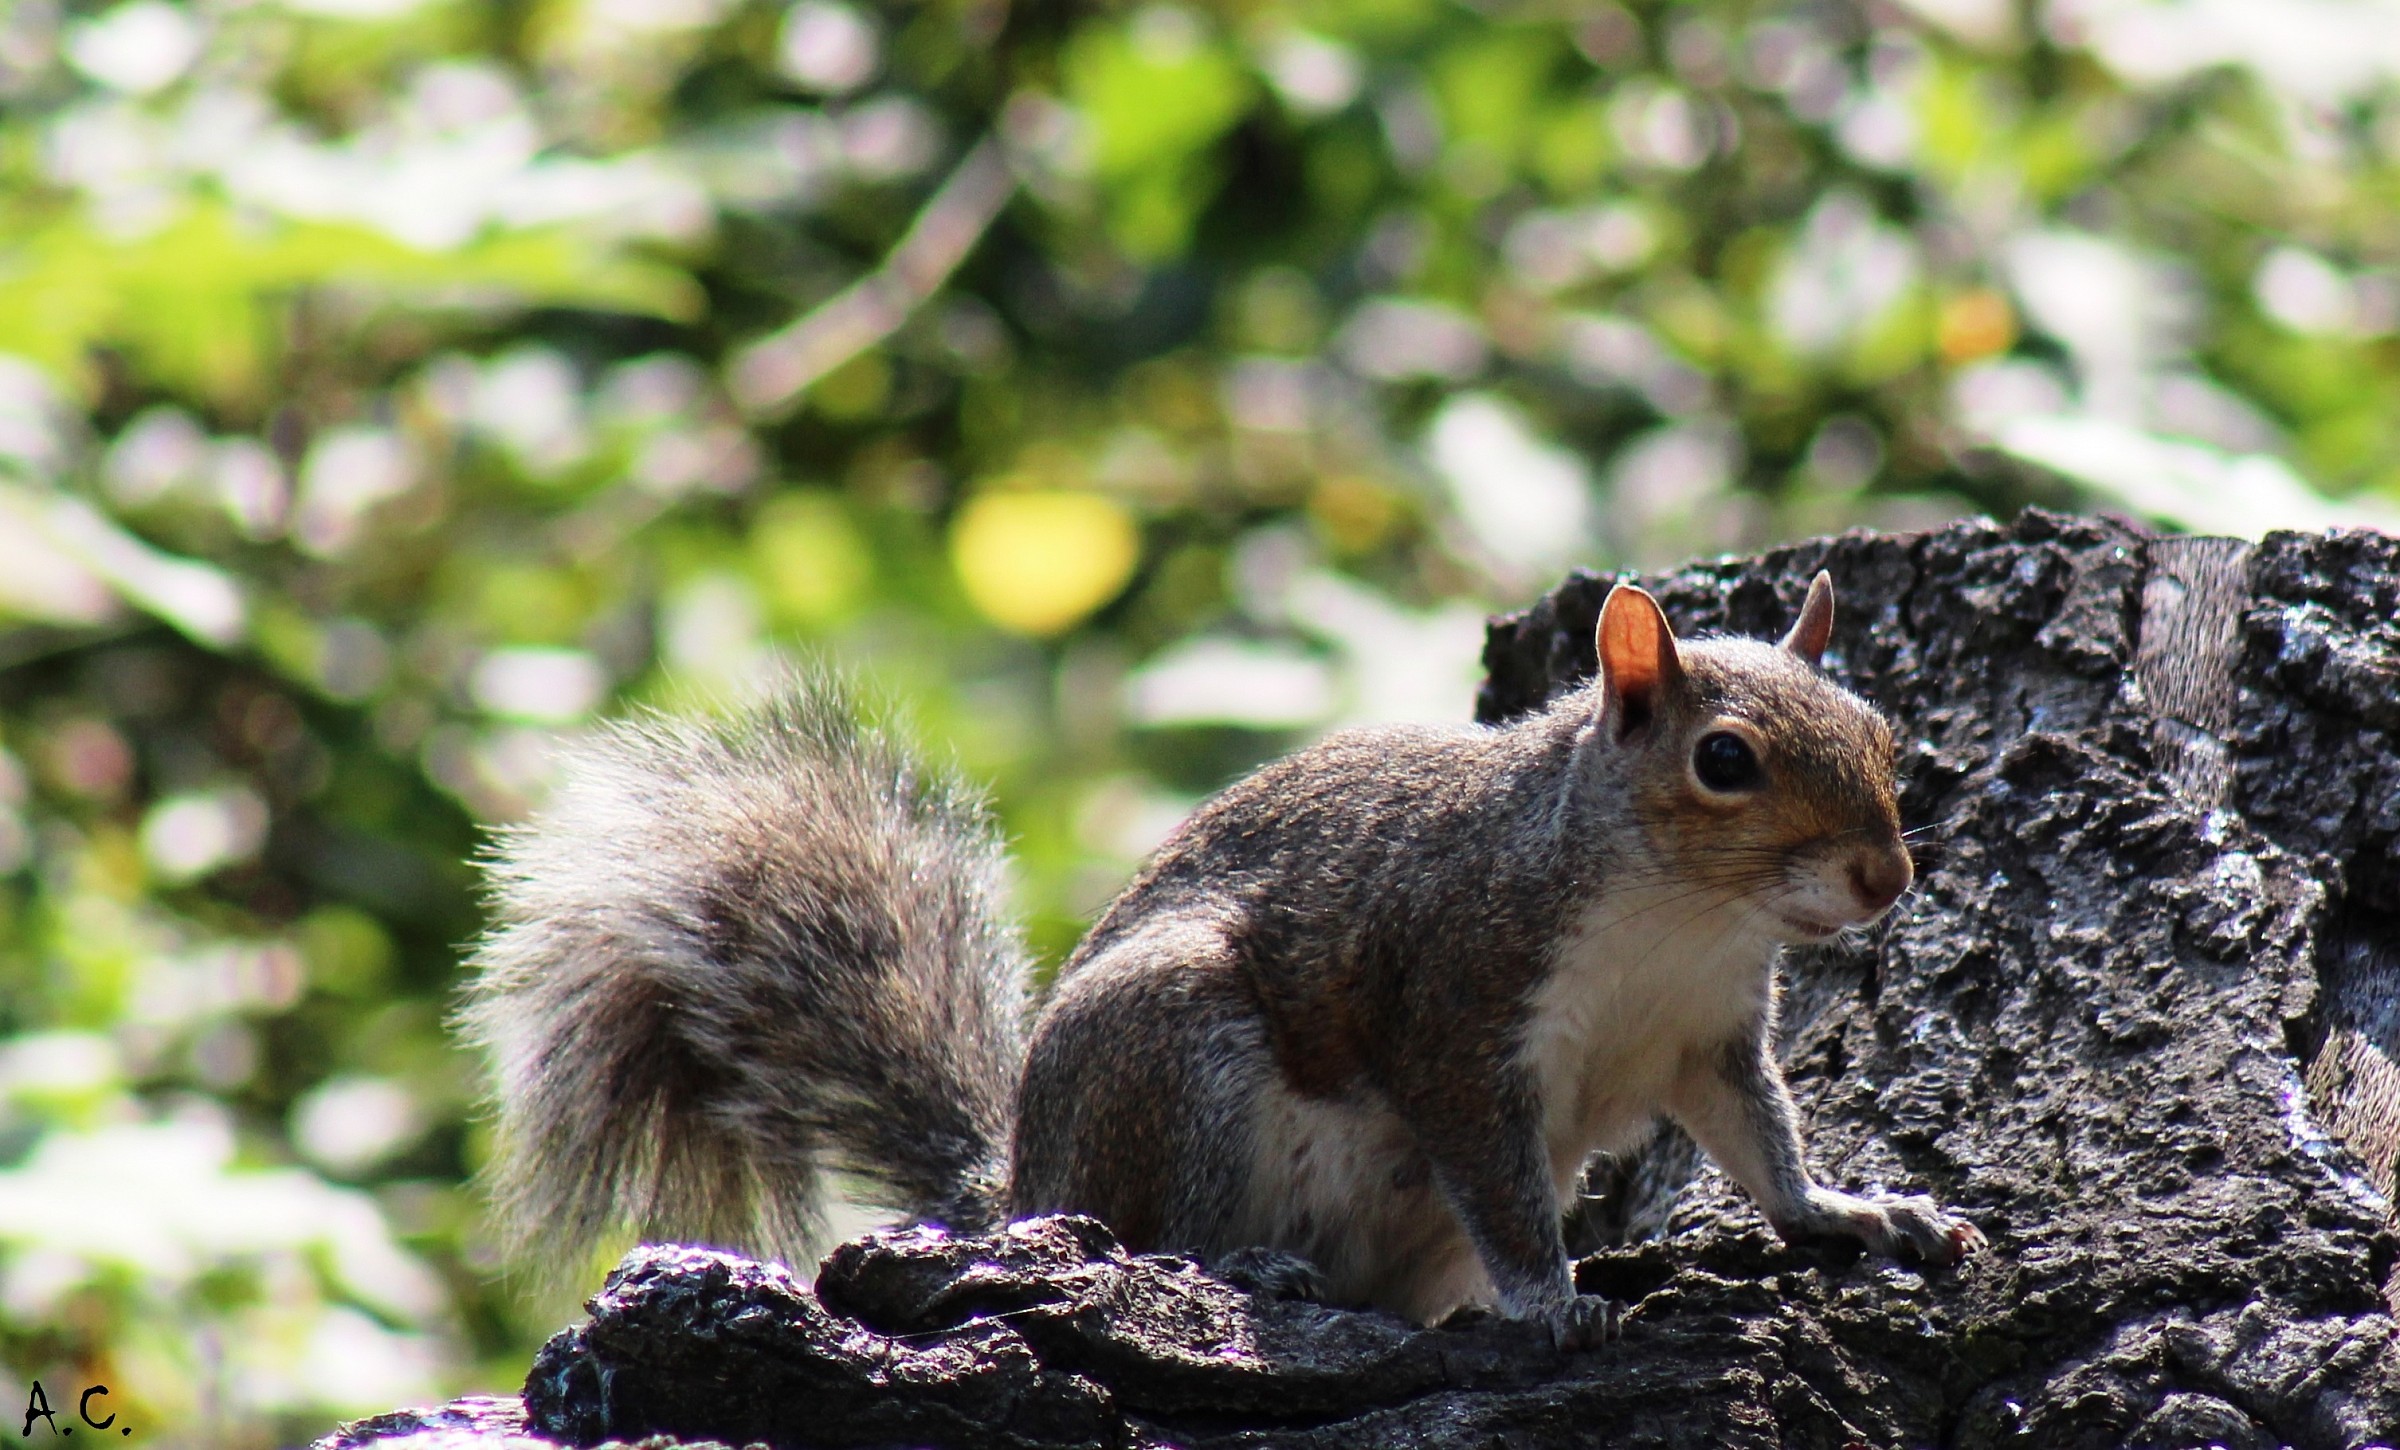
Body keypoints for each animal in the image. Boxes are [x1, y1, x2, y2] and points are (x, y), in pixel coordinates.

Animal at [458, 571, 1977, 1344]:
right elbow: (1492, 1171)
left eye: (1880, 729)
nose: (1887, 875)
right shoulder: (1458, 1002)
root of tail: (1023, 1183)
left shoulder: (1710, 1032)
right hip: (1171, 1045)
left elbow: (1761, 1142)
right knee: (1142, 1230)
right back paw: (1252, 1269)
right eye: (1725, 760)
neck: (1677, 915)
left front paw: (1853, 1213)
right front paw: (1552, 1299)